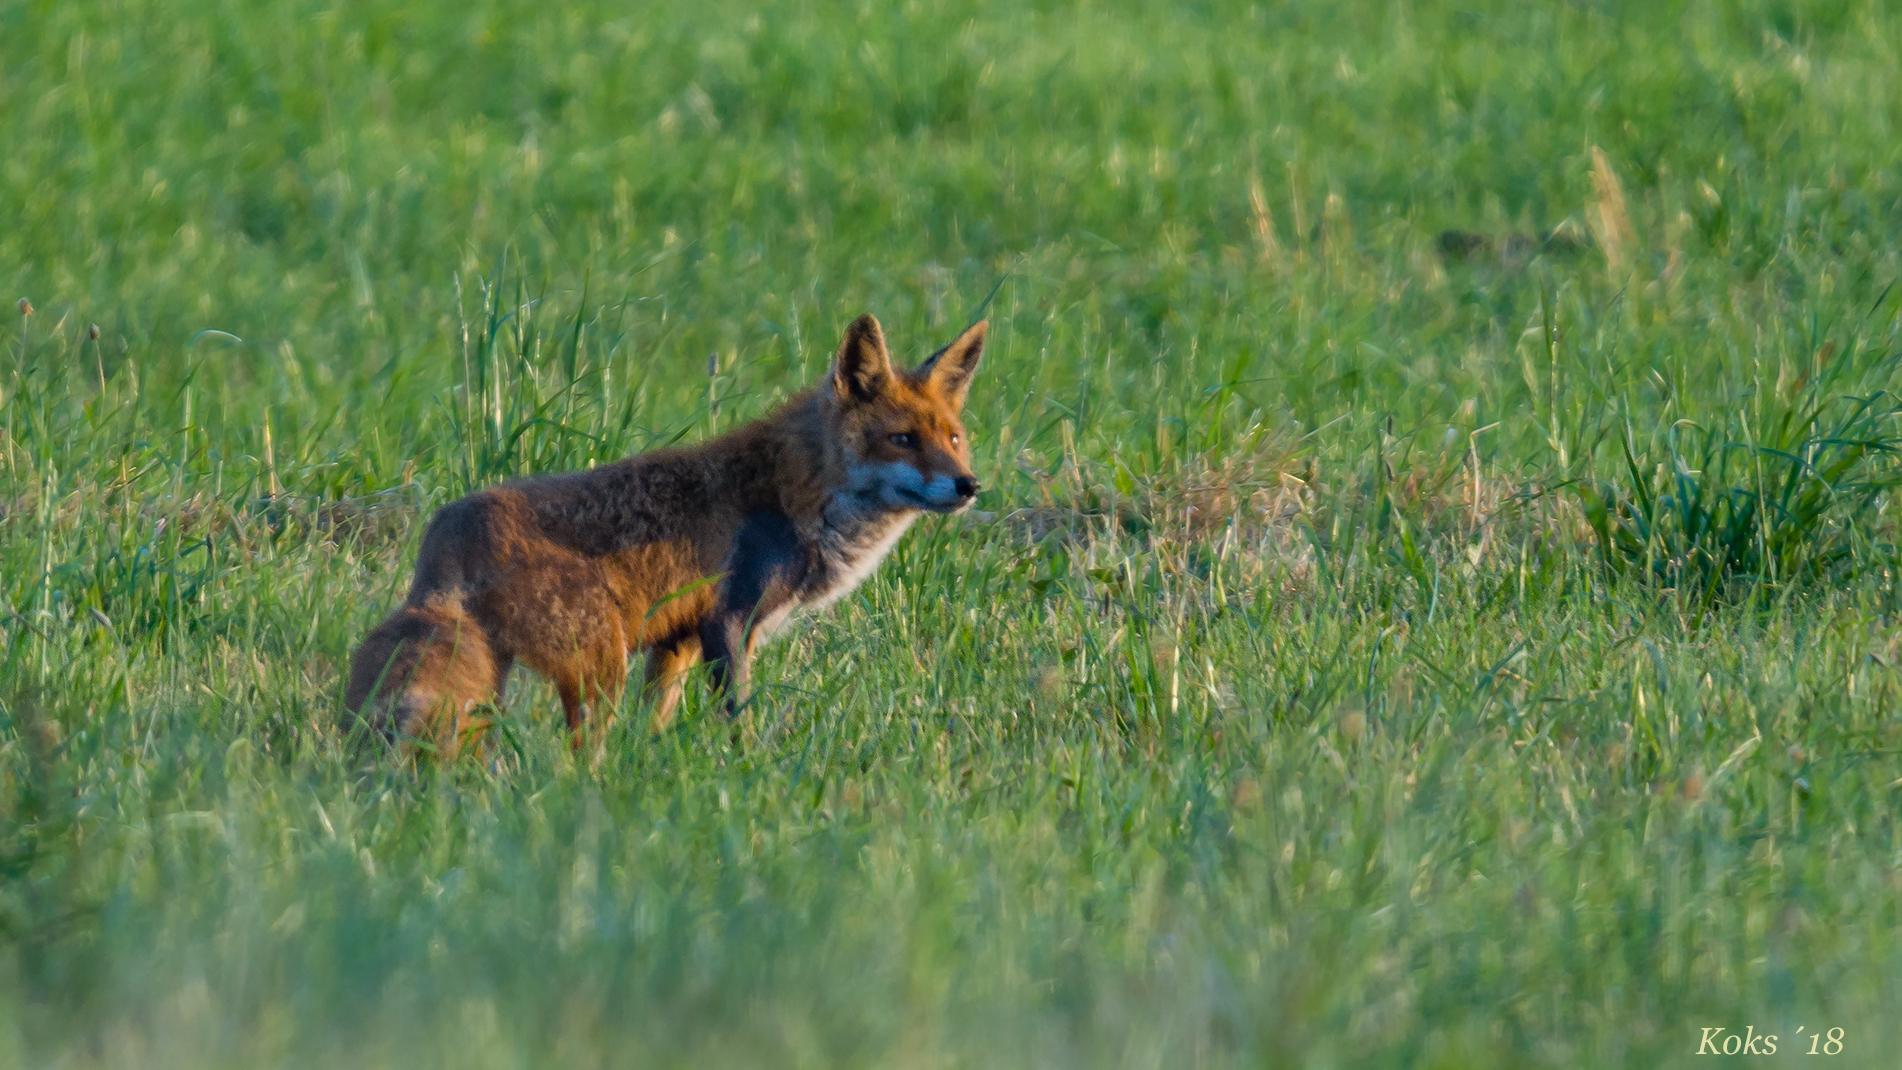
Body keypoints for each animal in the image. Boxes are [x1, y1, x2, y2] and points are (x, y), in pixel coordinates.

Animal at [348, 313, 989, 756]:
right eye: (903, 440)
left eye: (954, 438)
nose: (968, 484)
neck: (796, 493)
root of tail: (446, 528)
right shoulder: (728, 621)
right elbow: (737, 718)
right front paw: (747, 771)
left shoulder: (678, 641)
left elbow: (655, 723)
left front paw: (656, 769)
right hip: (601, 663)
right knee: (577, 757)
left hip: (501, 675)